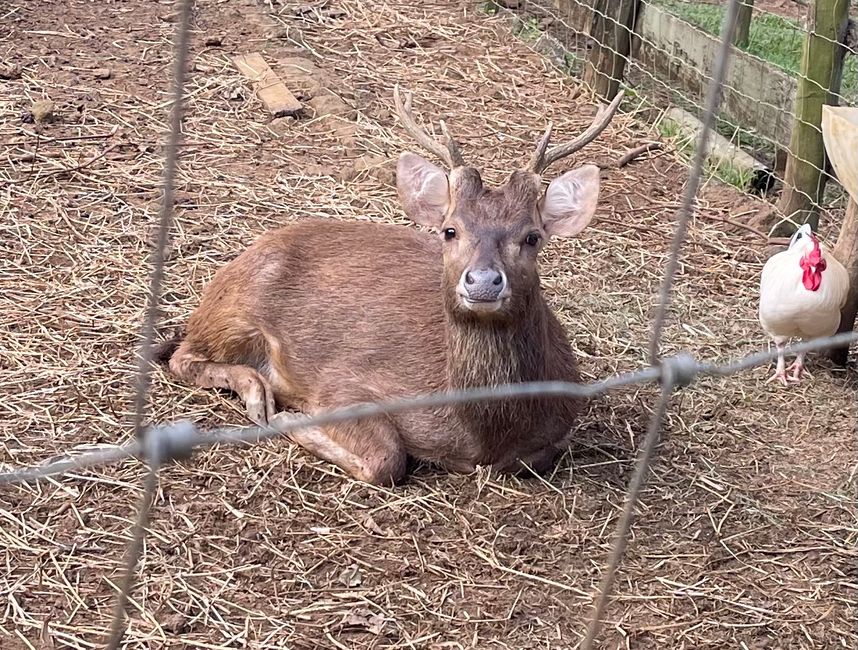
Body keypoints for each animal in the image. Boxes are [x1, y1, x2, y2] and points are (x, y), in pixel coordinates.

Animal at [159, 87, 616, 486]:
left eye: (533, 237)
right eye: (450, 231)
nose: (484, 281)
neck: (480, 434)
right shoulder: (342, 382)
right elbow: (387, 459)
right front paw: (292, 418)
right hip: (235, 309)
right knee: (181, 356)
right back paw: (258, 394)